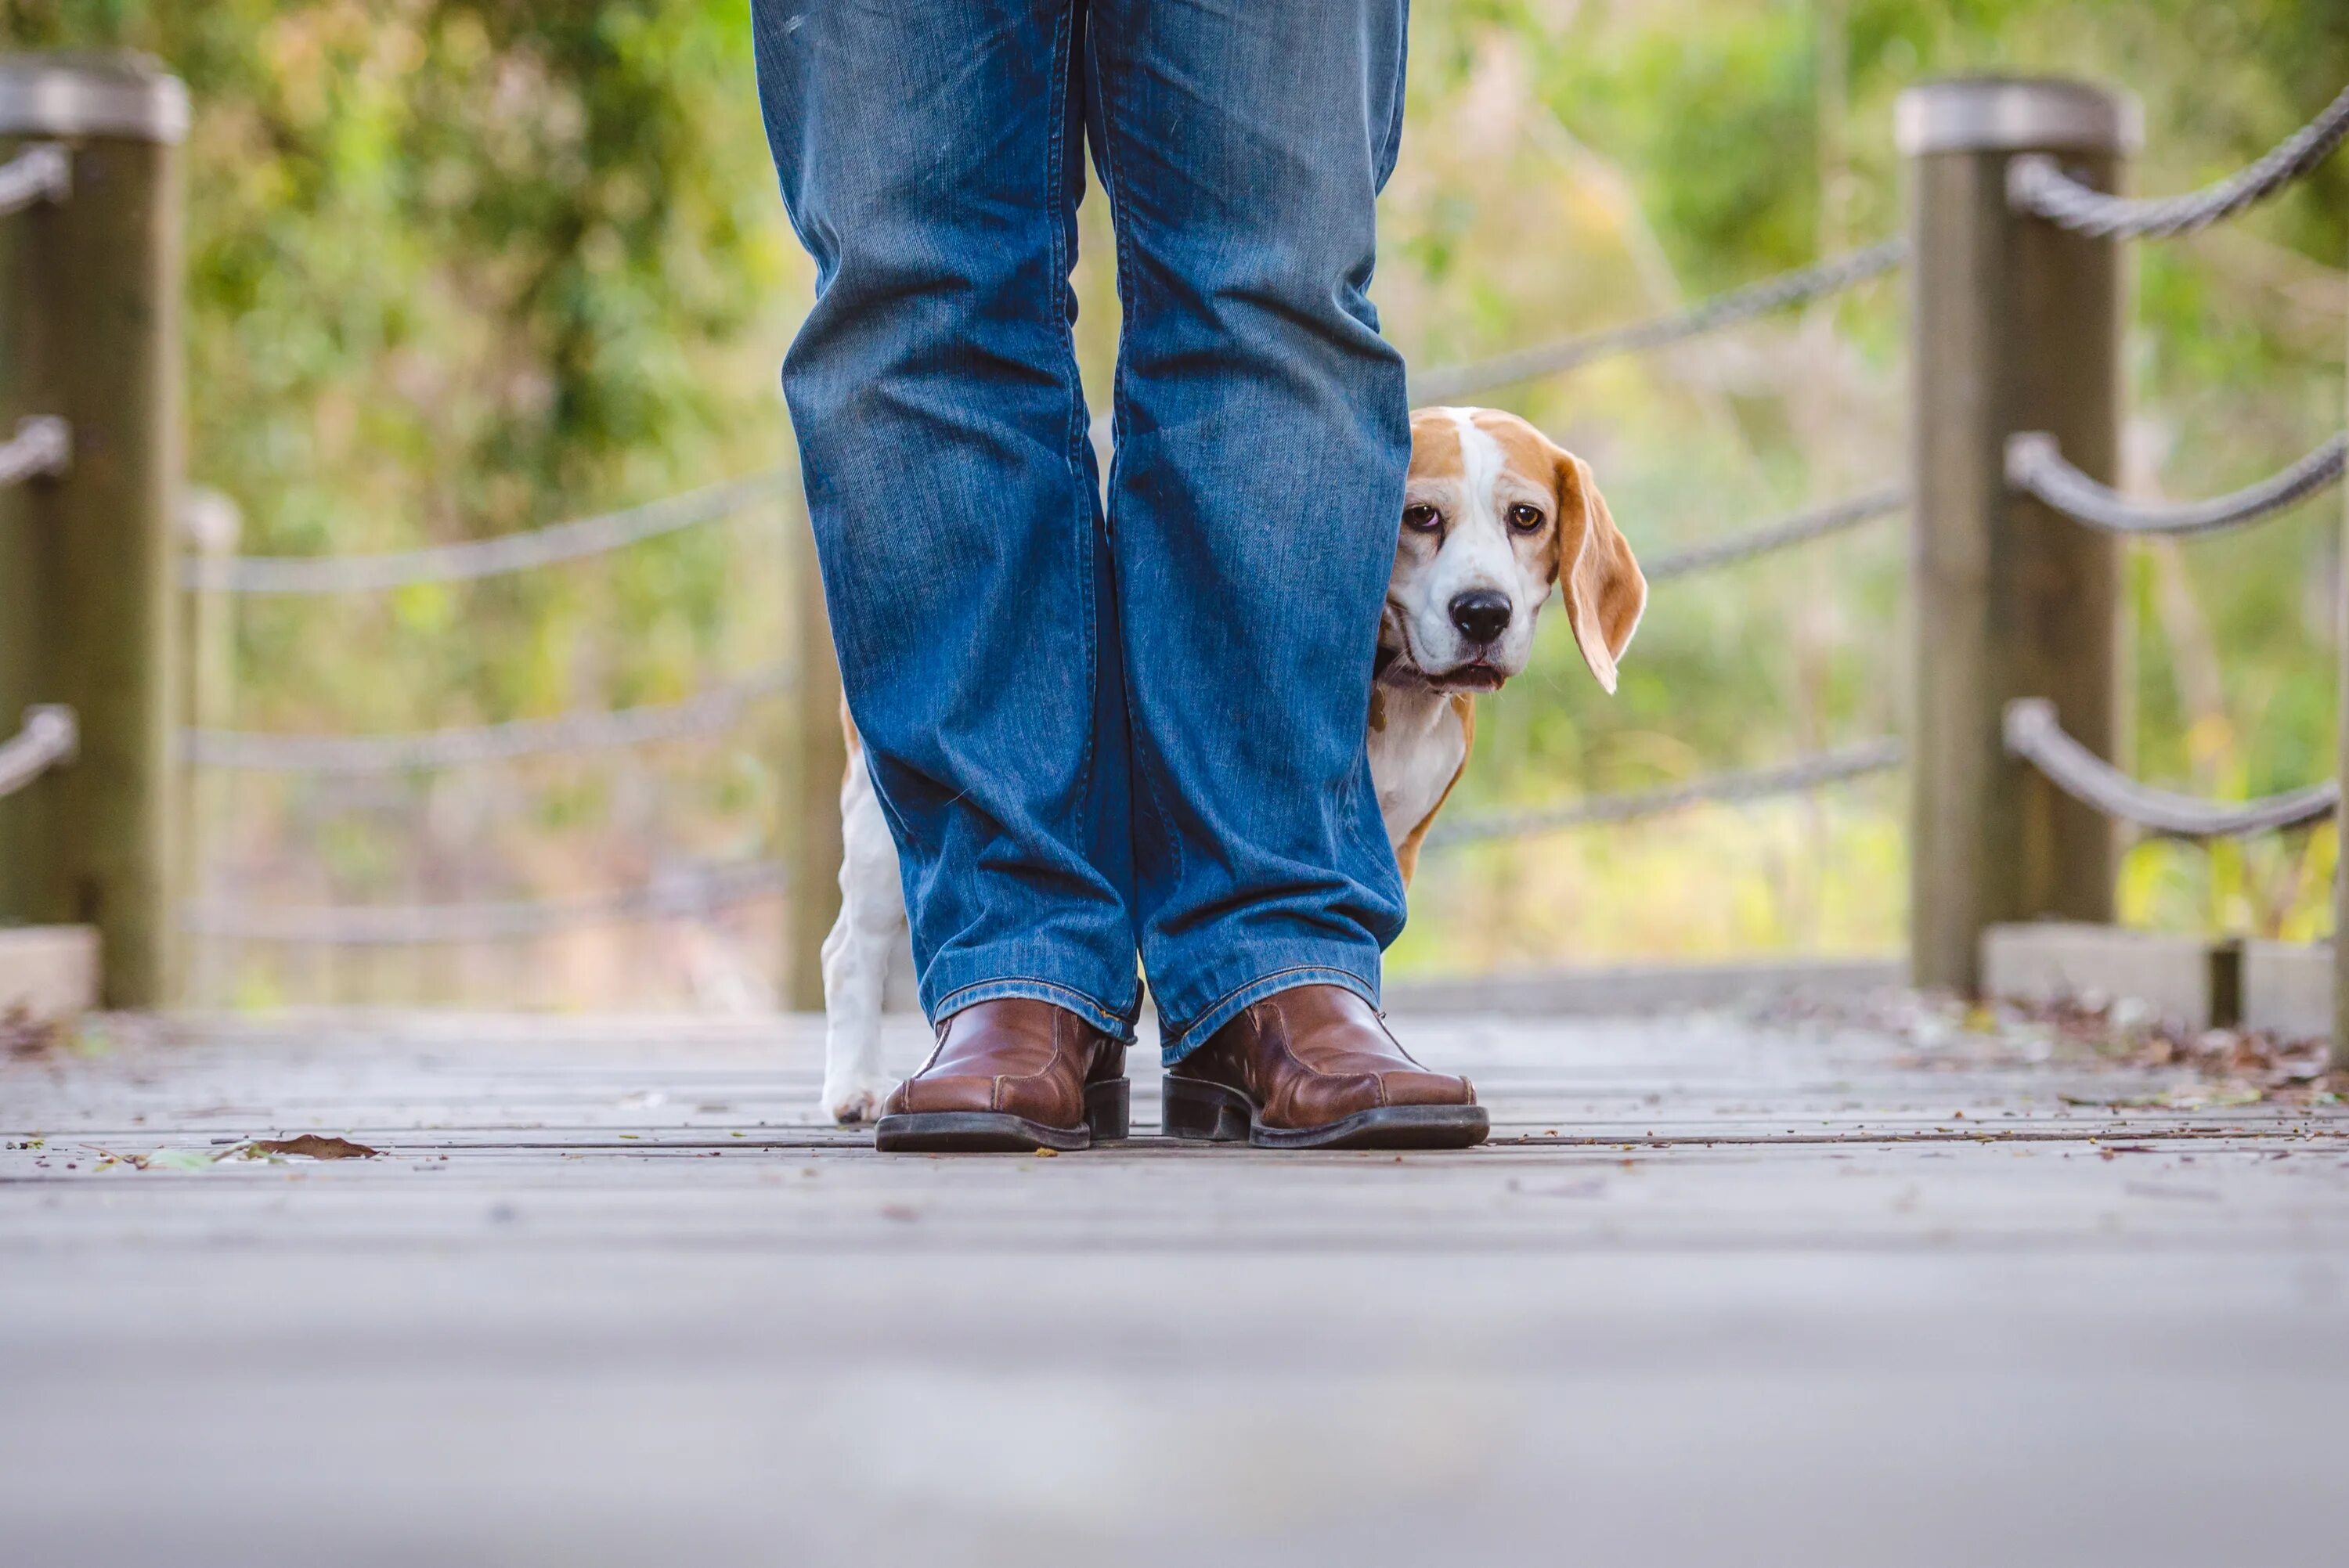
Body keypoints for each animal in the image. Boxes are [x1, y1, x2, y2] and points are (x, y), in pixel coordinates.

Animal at [817, 410, 1644, 1122]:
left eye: (1526, 518)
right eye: (1421, 517)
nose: (1483, 612)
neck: (1395, 693)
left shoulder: (1392, 849)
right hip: (880, 830)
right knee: (849, 950)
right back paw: (856, 1085)